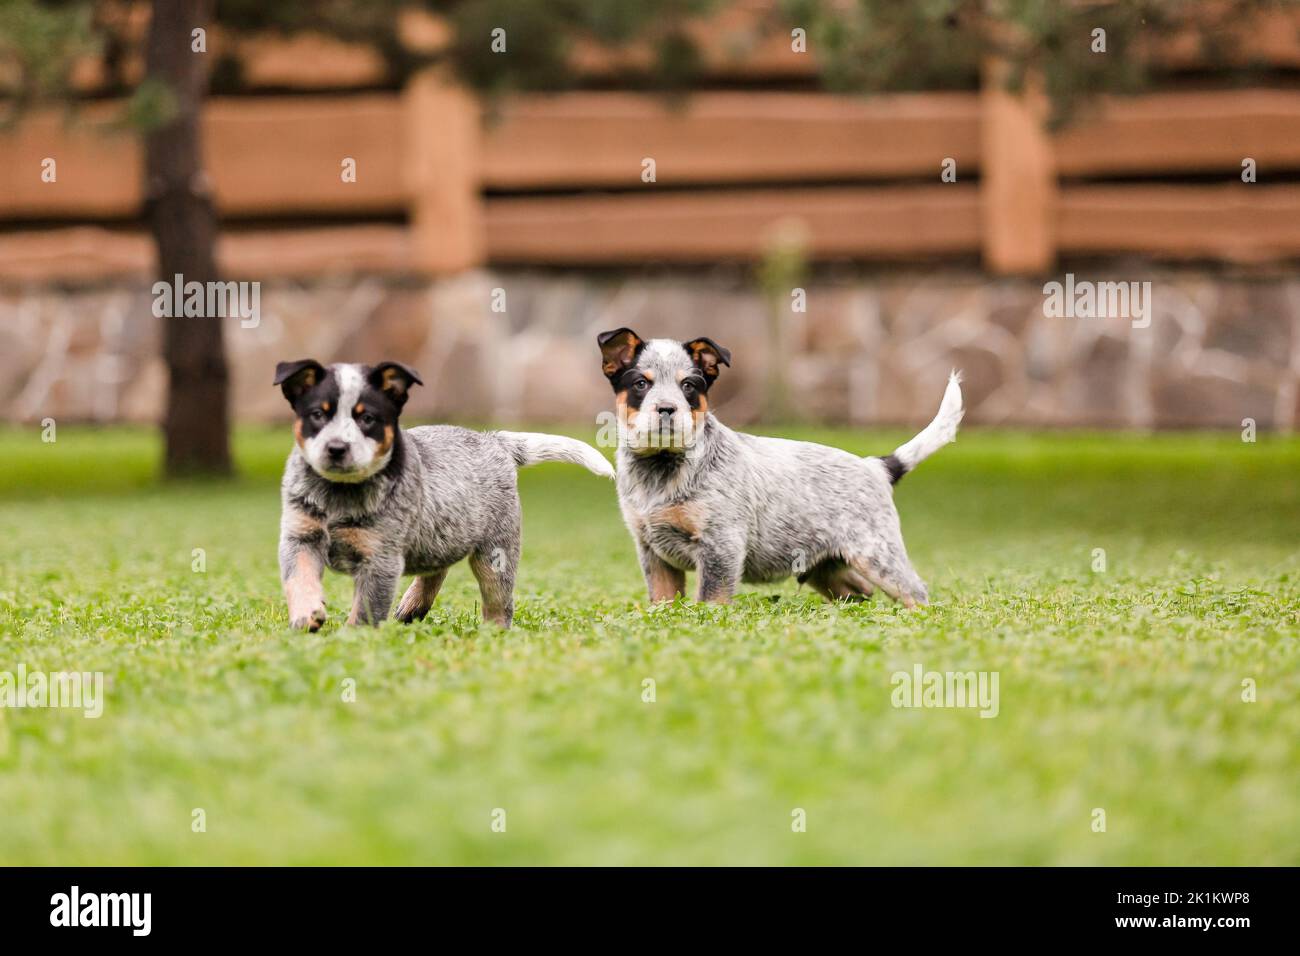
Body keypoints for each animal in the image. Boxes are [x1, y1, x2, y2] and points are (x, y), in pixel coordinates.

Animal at [273, 358, 613, 629]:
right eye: (317, 415)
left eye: (367, 418)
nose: (337, 448)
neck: (338, 494)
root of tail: (495, 440)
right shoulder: (300, 537)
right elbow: (298, 579)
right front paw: (306, 615)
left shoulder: (381, 560)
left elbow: (366, 611)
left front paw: (352, 638)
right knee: (437, 570)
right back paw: (412, 607)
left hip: (495, 553)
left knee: (497, 601)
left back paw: (492, 632)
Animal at [595, 329, 961, 608]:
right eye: (641, 384)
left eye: (689, 386)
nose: (667, 409)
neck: (660, 467)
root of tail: (876, 467)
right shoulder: (652, 552)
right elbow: (663, 601)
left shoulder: (721, 545)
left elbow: (711, 600)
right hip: (827, 569)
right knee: (859, 593)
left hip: (877, 555)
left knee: (916, 592)